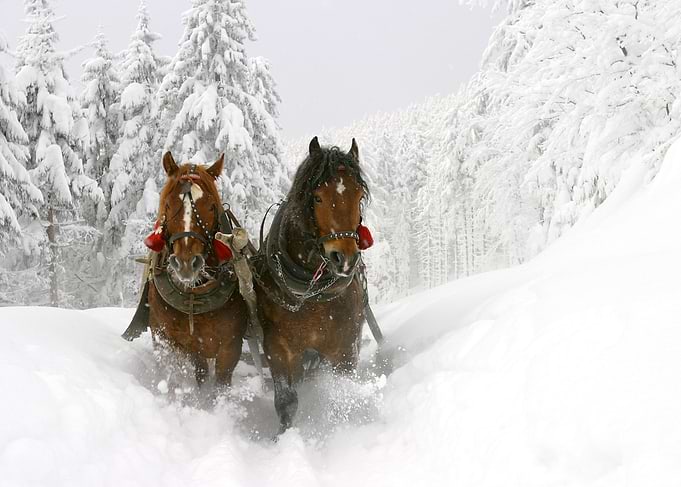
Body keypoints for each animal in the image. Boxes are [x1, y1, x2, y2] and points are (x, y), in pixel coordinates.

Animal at [125, 151, 249, 390]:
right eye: (168, 204)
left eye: (211, 207)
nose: (186, 263)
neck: (194, 296)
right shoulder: (171, 340)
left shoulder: (230, 348)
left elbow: (221, 385)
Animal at [254, 136, 373, 433]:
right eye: (317, 197)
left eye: (359, 196)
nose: (345, 258)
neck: (311, 293)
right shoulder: (278, 348)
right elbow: (286, 402)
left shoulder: (345, 349)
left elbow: (342, 394)